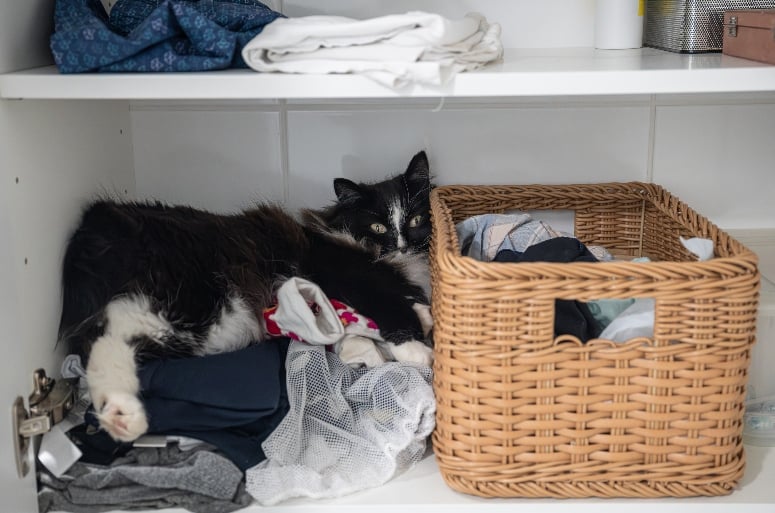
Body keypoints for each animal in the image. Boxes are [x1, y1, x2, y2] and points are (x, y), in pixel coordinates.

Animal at [59, 150, 436, 442]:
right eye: (378, 227)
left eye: (417, 219)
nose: (402, 245)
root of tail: (94, 223)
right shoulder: (344, 276)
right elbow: (389, 308)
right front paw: (416, 350)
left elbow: (388, 315)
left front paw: (416, 324)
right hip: (186, 300)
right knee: (101, 343)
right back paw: (123, 418)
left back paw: (121, 416)